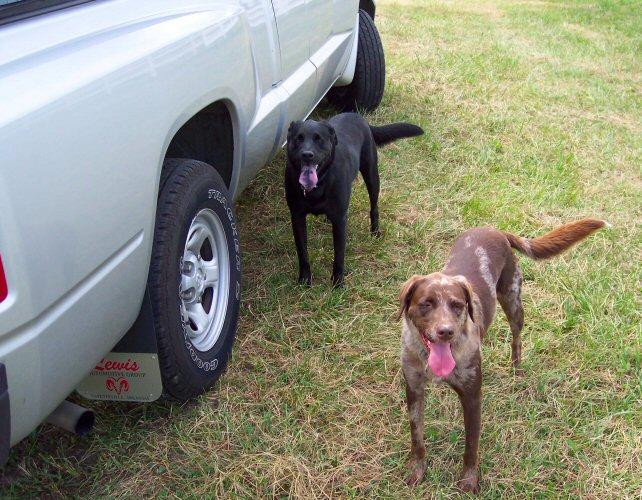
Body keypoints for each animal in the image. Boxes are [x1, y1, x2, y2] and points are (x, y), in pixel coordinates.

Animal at [284, 112, 420, 288]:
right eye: (298, 138)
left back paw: (375, 232)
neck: (318, 185)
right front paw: (305, 280)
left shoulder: (340, 220)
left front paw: (338, 283)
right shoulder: (297, 217)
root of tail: (356, 115)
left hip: (372, 174)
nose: (307, 154)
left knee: (374, 206)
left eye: (318, 139)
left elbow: (339, 254)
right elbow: (302, 252)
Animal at [396, 219, 604, 492]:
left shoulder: (472, 396)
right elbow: (417, 438)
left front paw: (468, 481)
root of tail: (495, 230)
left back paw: (517, 369)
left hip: (513, 302)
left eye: (457, 305)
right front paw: (417, 471)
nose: (446, 331)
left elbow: (471, 446)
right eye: (426, 304)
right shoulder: (414, 390)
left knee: (516, 338)